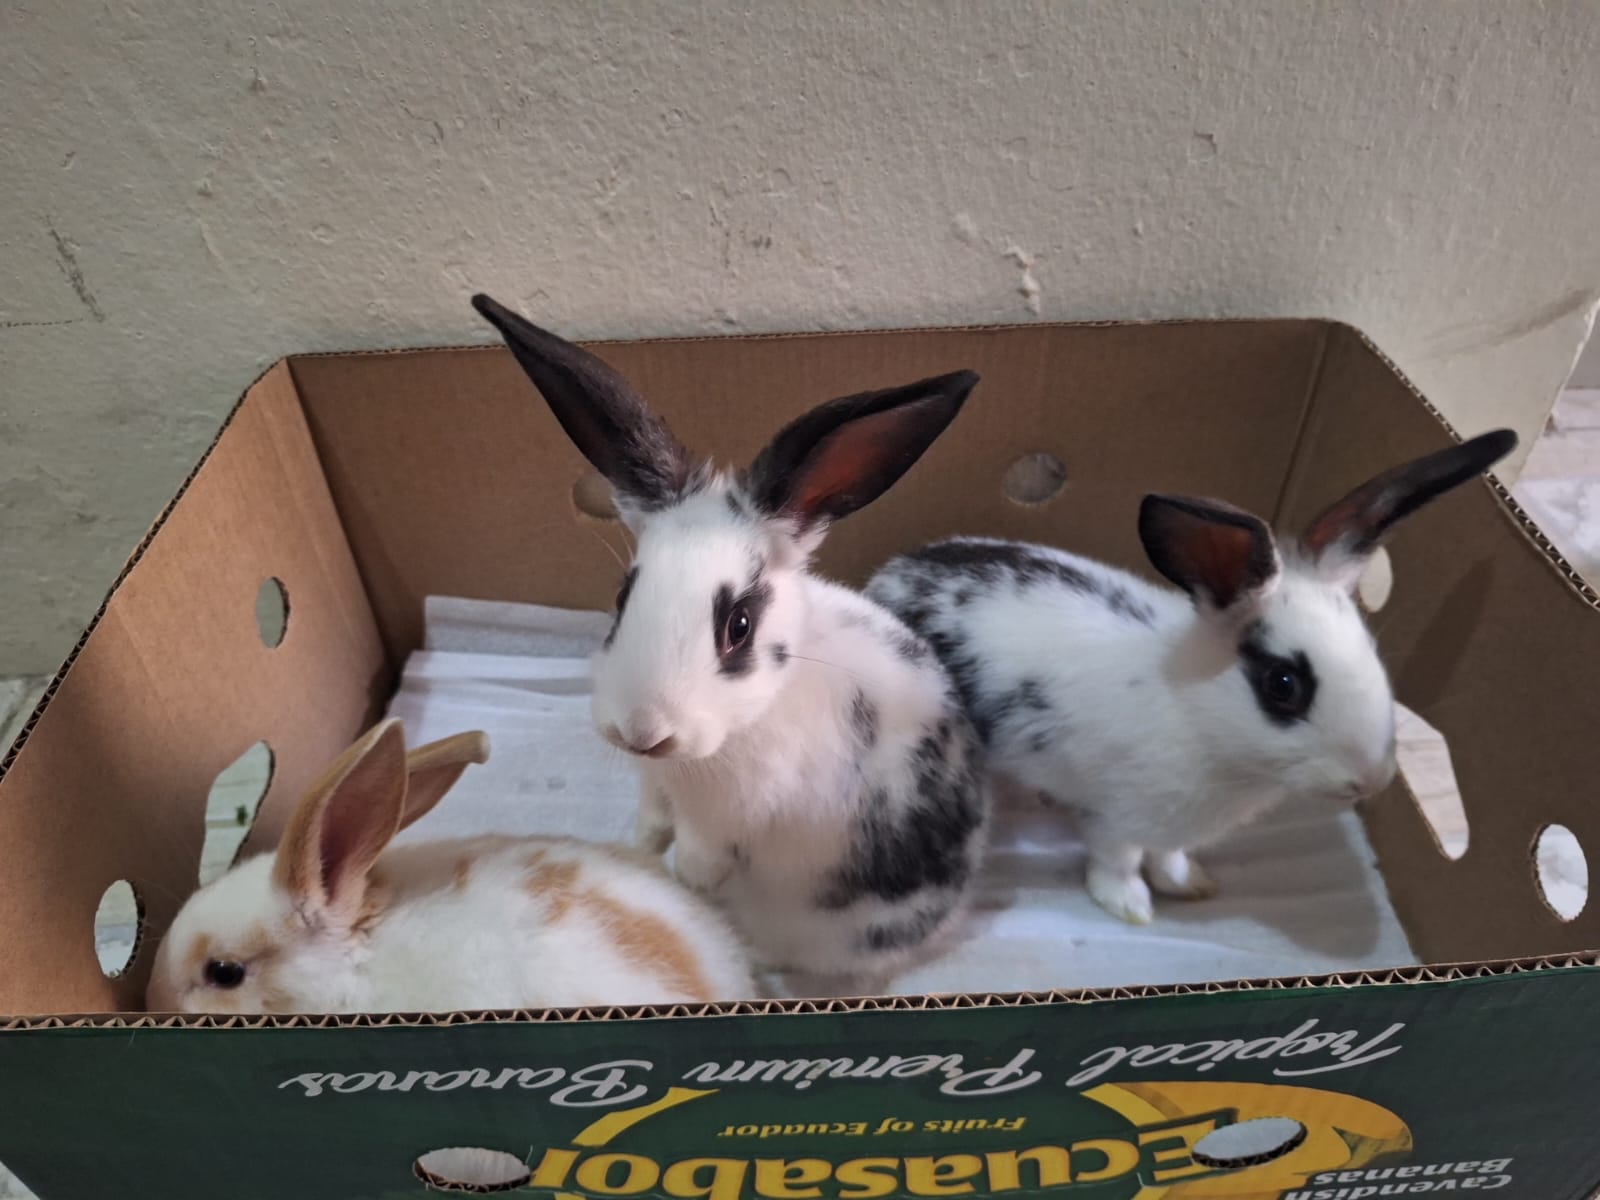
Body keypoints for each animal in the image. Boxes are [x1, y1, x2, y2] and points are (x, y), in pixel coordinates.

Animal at [471, 293, 990, 998]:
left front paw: (685, 881)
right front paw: (638, 850)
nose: (642, 733)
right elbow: (652, 825)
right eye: (622, 597)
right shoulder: (656, 789)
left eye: (739, 625)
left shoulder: (730, 822)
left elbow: (702, 857)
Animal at [866, 428, 1517, 925]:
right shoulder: (1118, 815)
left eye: (1372, 655)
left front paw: (1190, 883)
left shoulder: (1172, 825)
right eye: (1284, 685)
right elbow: (1118, 860)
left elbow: (1170, 855)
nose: (1371, 780)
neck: (1199, 717)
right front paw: (1130, 906)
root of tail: (889, 574)